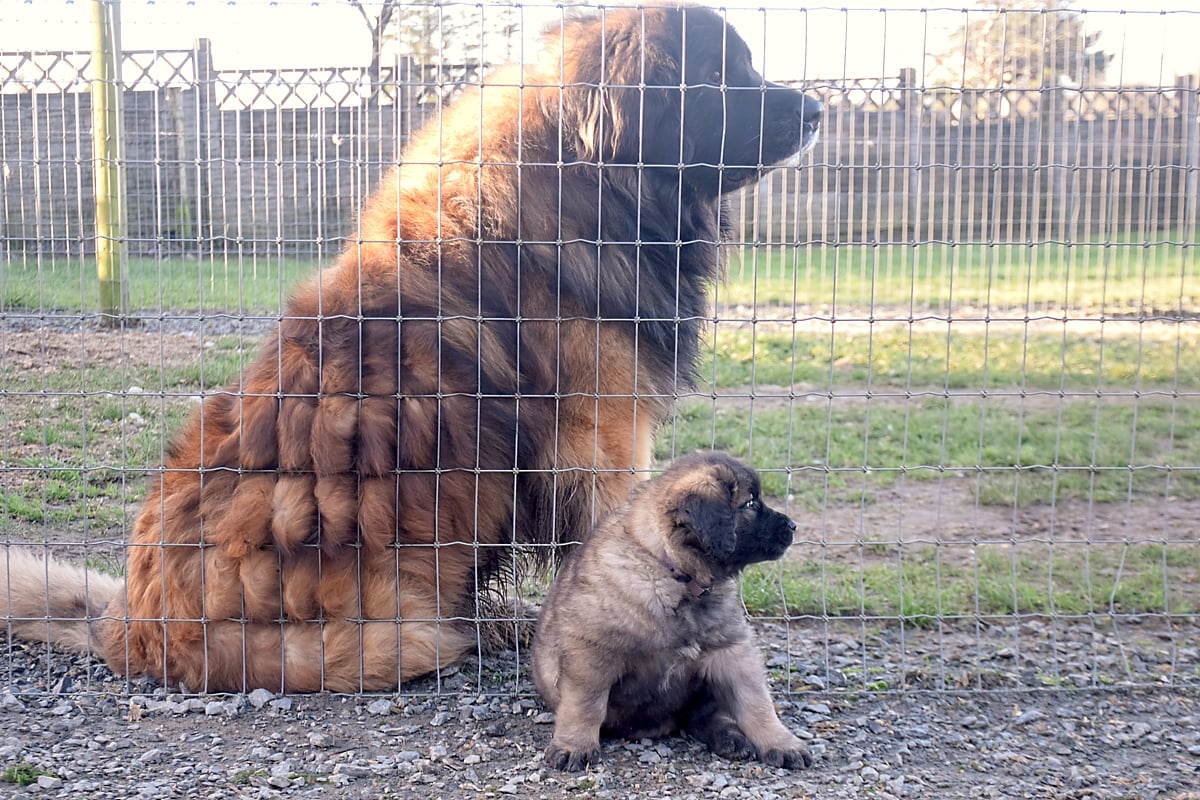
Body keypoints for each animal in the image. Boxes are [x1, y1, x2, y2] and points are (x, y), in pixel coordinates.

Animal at [0, 4, 820, 695]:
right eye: (720, 74)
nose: (815, 110)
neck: (585, 181)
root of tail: (130, 629)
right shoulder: (603, 440)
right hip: (386, 609)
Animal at [530, 450, 811, 767]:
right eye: (751, 504)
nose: (793, 525)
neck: (676, 577)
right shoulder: (591, 652)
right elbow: (585, 704)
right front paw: (574, 745)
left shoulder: (731, 649)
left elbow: (756, 702)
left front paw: (782, 743)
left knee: (707, 715)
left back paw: (730, 738)